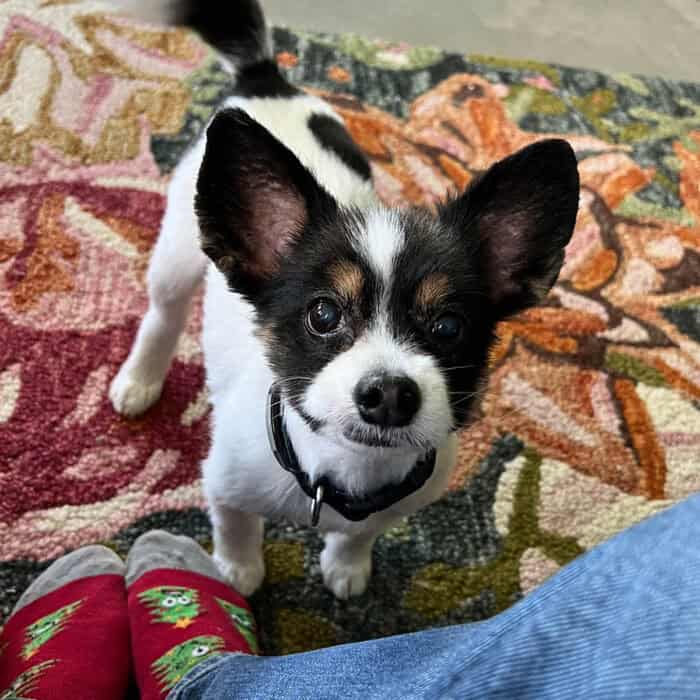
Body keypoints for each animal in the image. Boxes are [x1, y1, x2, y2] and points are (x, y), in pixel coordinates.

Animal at [109, 2, 580, 600]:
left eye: (450, 327)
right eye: (324, 314)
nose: (390, 393)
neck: (346, 470)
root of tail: (267, 78)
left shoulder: (398, 502)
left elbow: (361, 535)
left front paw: (346, 566)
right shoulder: (225, 482)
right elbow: (235, 525)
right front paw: (238, 571)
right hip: (177, 251)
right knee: (163, 314)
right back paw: (139, 380)